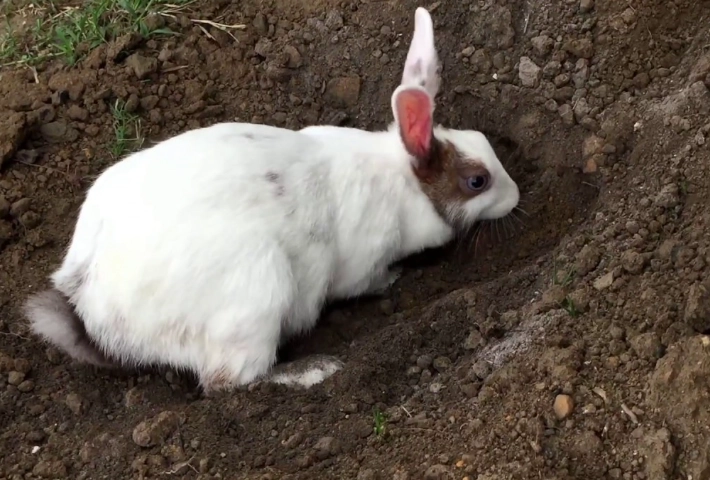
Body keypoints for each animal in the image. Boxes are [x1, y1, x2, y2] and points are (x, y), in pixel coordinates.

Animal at [23, 7, 520, 394]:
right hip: (257, 297)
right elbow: (369, 281)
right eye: (477, 181)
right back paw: (316, 371)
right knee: (230, 381)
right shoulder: (364, 263)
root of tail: (92, 309)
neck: (403, 183)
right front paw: (394, 280)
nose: (516, 197)